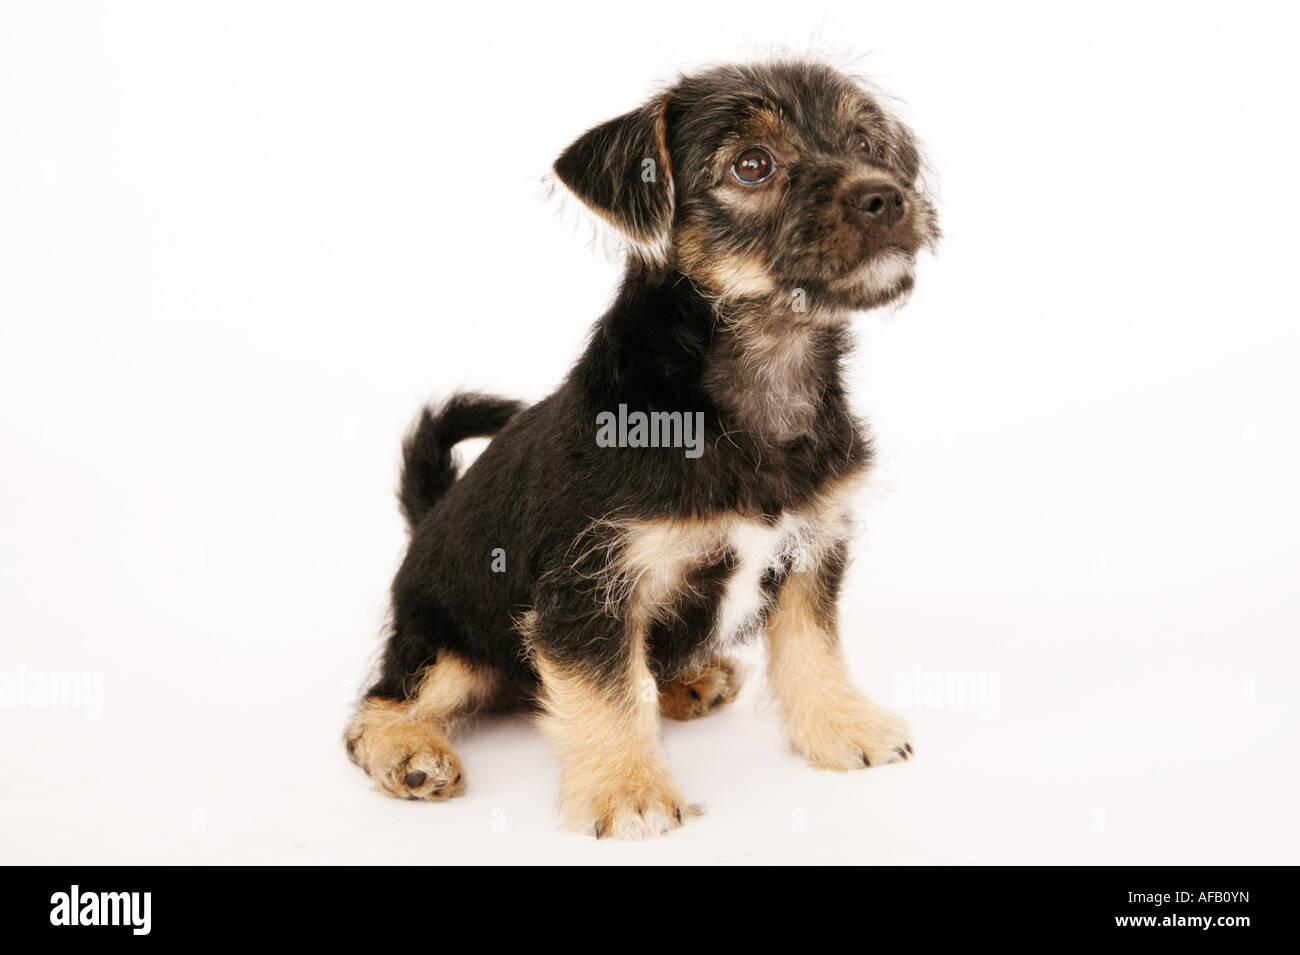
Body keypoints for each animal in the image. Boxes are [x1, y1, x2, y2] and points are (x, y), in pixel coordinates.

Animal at [345, 59, 935, 836]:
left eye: (867, 143)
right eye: (752, 164)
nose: (886, 196)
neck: (759, 375)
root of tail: (429, 518)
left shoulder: (813, 548)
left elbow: (814, 646)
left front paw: (842, 725)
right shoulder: (588, 589)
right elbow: (608, 691)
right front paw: (628, 788)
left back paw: (692, 679)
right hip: (445, 643)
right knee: (382, 702)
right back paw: (410, 752)